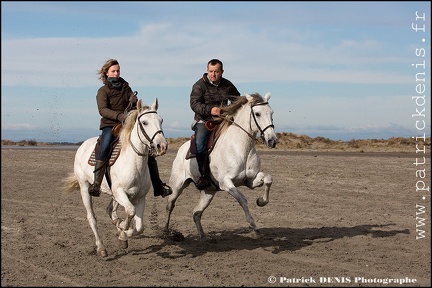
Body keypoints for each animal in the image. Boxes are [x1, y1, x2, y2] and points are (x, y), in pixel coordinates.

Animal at [63, 99, 168, 256]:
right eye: (144, 122)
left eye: (161, 120)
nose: (162, 145)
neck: (134, 163)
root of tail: (83, 145)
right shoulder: (120, 193)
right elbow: (130, 212)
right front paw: (123, 229)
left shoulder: (139, 197)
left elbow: (139, 227)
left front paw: (123, 234)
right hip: (85, 188)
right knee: (92, 217)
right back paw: (101, 248)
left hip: (114, 195)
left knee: (109, 210)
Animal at [165, 92, 276, 238]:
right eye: (257, 113)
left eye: (271, 113)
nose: (272, 140)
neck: (241, 148)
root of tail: (181, 149)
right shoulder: (226, 183)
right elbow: (243, 199)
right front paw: (254, 227)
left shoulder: (250, 180)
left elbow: (268, 179)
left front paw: (261, 201)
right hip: (177, 186)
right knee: (170, 205)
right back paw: (165, 232)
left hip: (208, 192)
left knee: (196, 213)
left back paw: (203, 237)